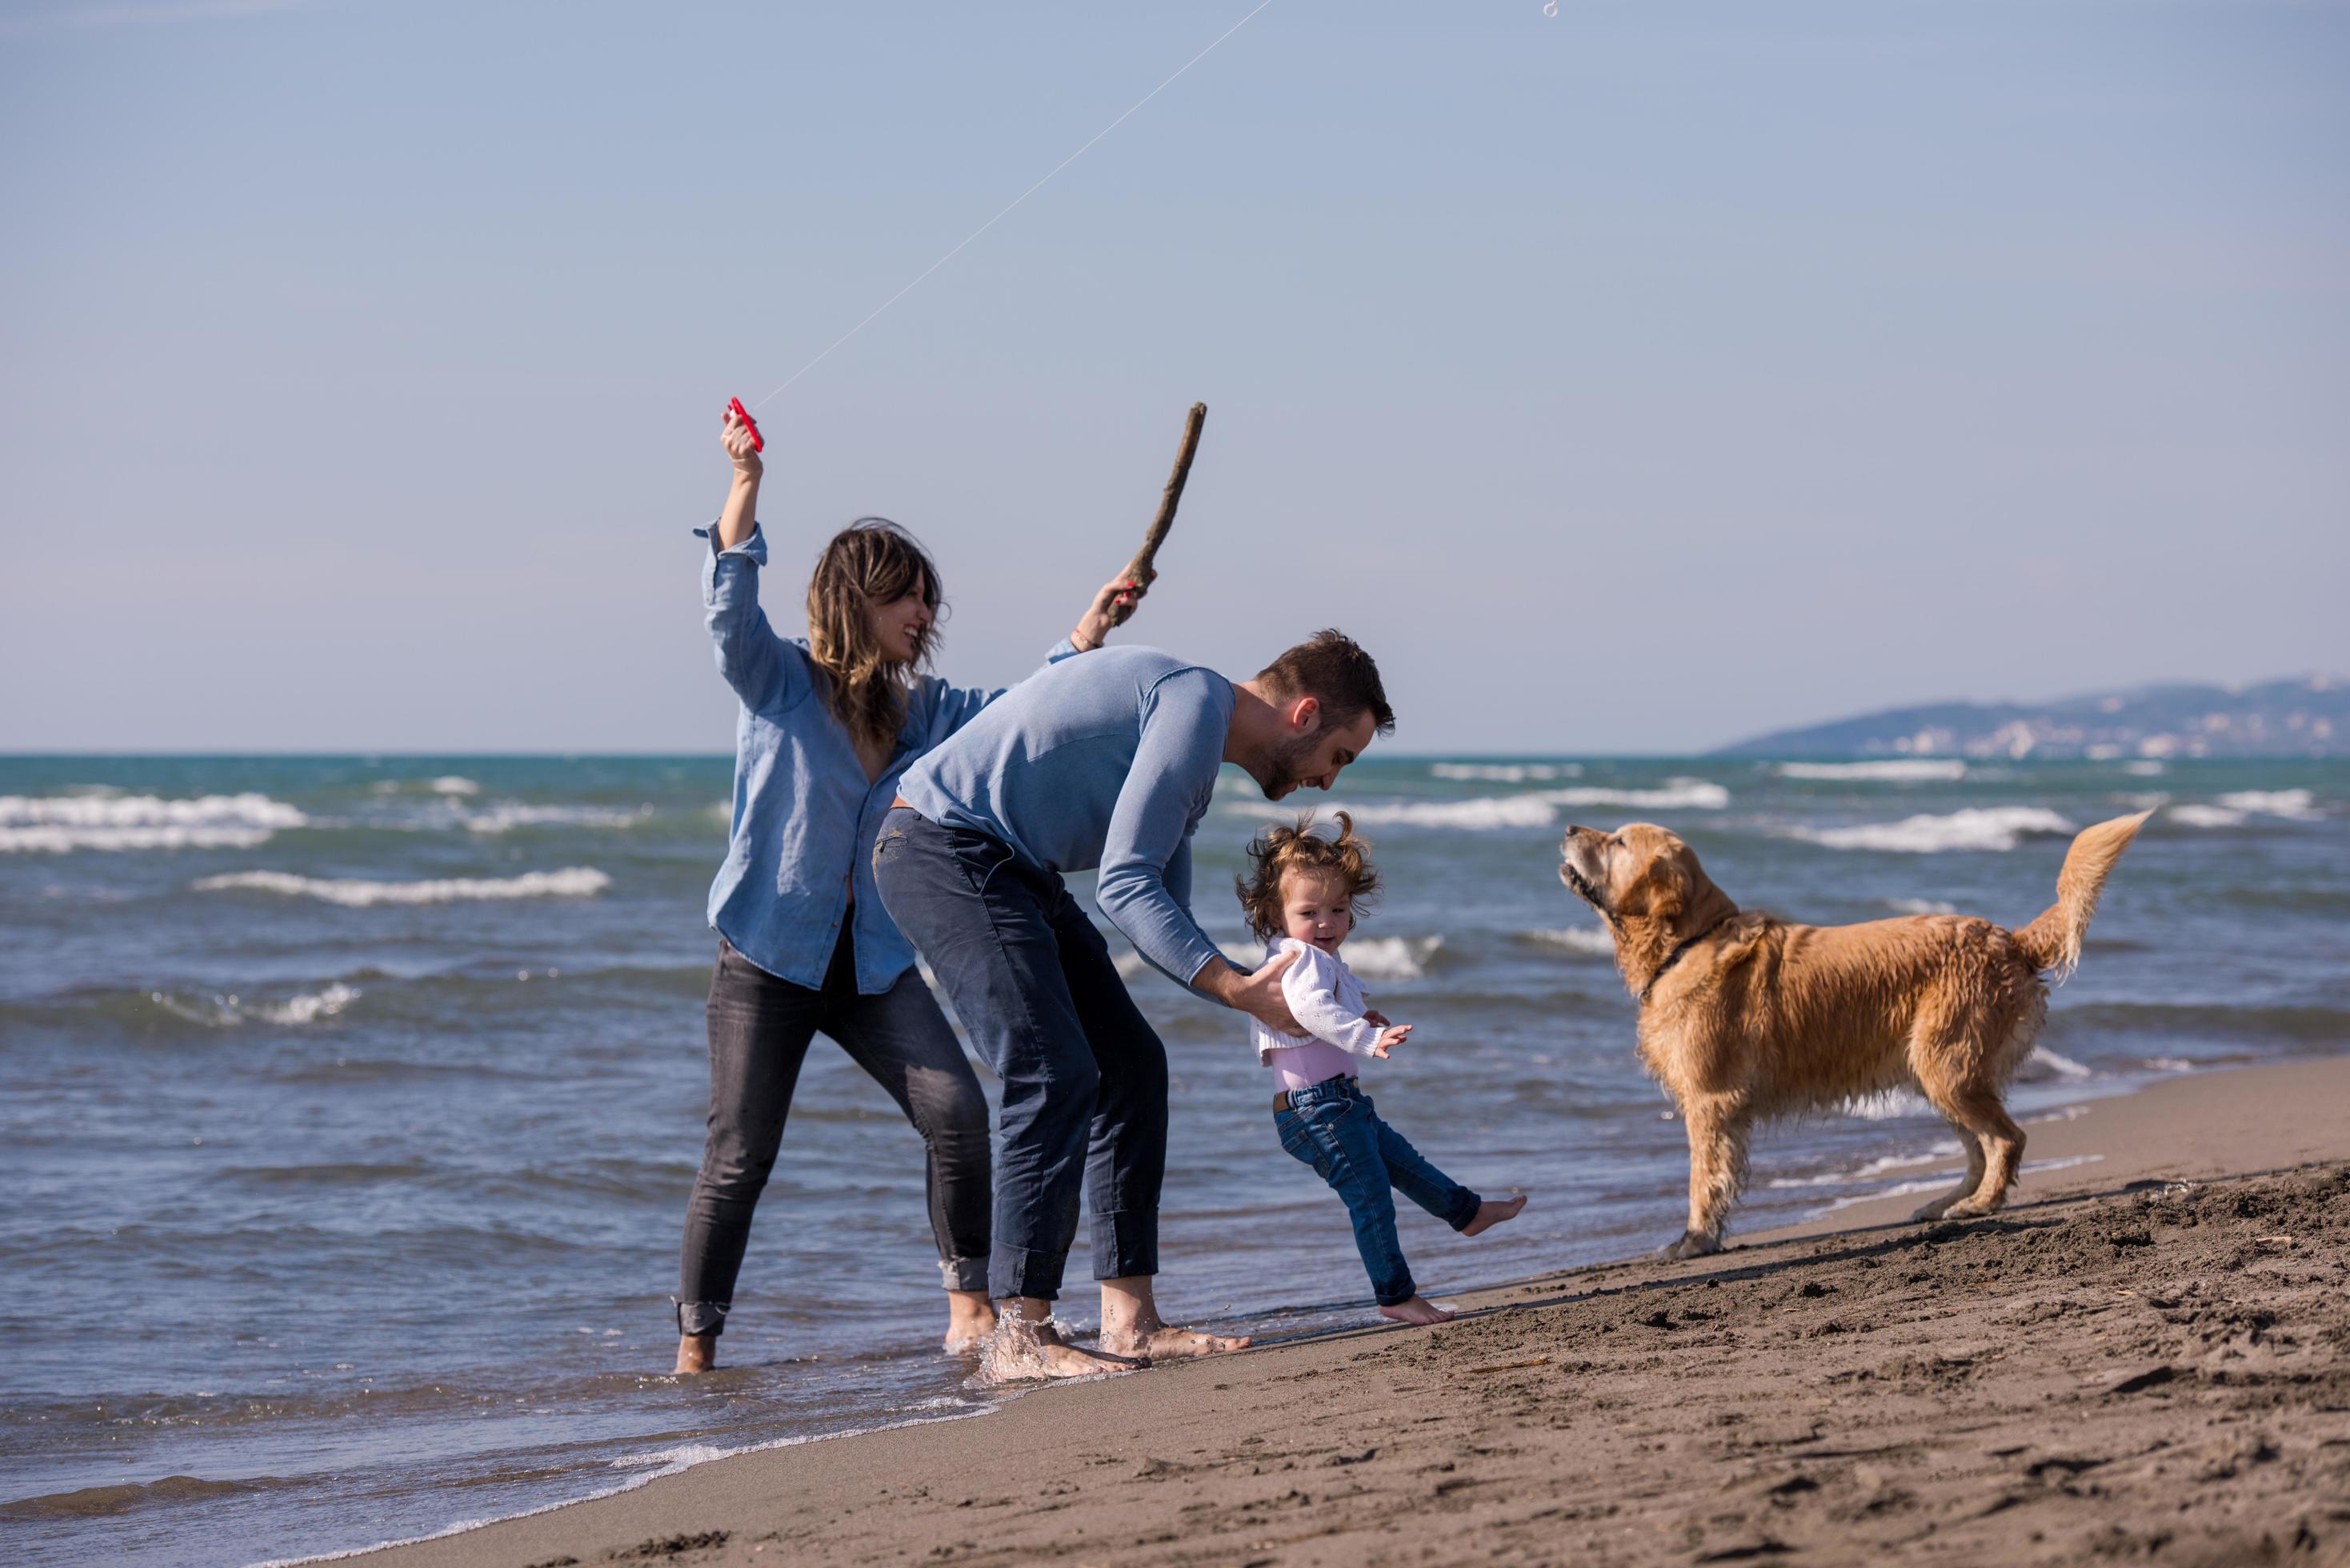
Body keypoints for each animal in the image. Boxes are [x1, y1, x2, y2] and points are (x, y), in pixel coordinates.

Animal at [1560, 818, 2152, 1260]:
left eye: (1617, 841)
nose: (1567, 826)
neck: (1689, 941)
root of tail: (2009, 939)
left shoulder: (1709, 1100)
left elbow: (1702, 1179)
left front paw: (1694, 1240)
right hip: (1940, 1074)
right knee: (1979, 1149)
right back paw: (1941, 1205)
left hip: (1947, 1068)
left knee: (2006, 1140)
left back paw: (1978, 1207)